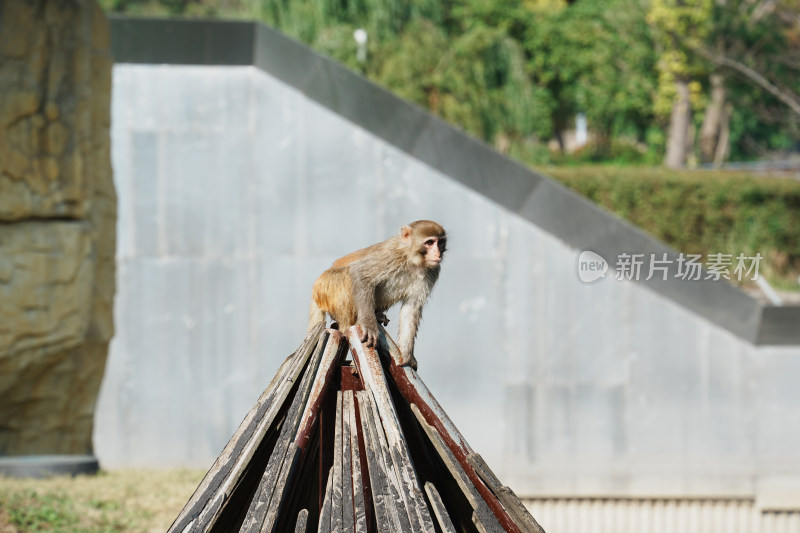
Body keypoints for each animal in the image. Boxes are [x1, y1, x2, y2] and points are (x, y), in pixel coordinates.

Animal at [308, 219, 446, 366]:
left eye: (440, 242)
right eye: (429, 242)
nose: (438, 254)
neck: (412, 260)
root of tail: (316, 288)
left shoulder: (432, 271)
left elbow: (411, 308)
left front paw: (407, 353)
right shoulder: (391, 256)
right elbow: (360, 274)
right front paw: (368, 326)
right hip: (327, 287)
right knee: (346, 276)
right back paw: (349, 327)